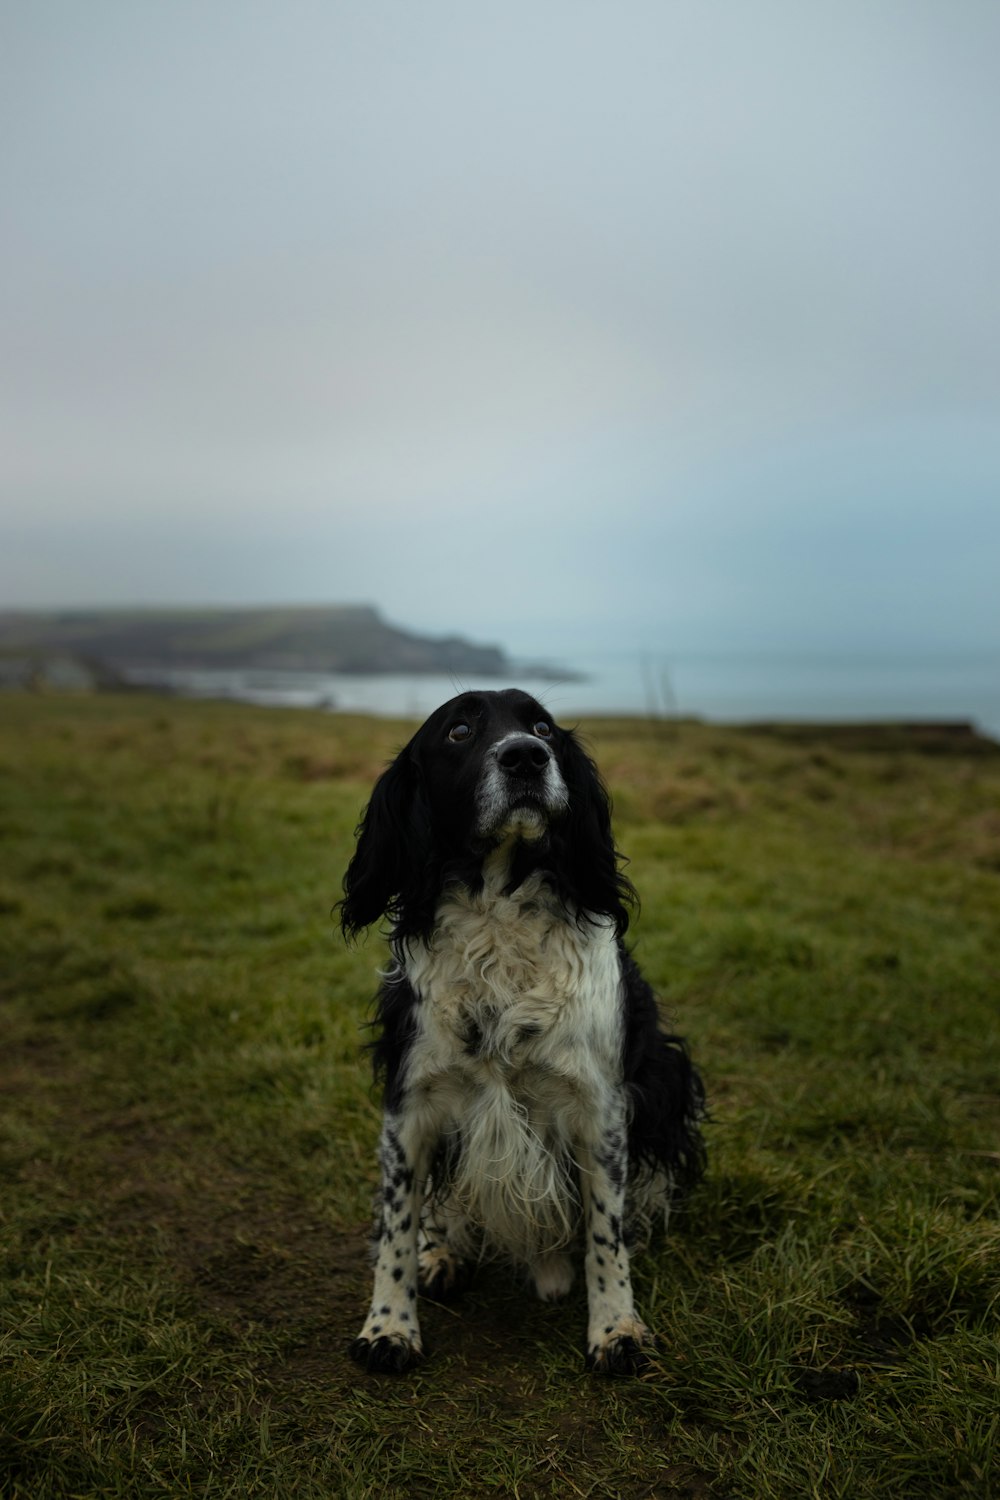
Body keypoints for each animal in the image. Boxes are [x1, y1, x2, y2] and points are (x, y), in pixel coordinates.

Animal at [340, 687, 707, 1374]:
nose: (526, 758)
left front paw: (616, 1328)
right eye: (459, 731)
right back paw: (442, 1255)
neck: (498, 916)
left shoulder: (601, 1109)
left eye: (542, 727)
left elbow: (605, 1232)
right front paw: (389, 1326)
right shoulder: (410, 1104)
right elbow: (397, 1223)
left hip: (669, 1077)